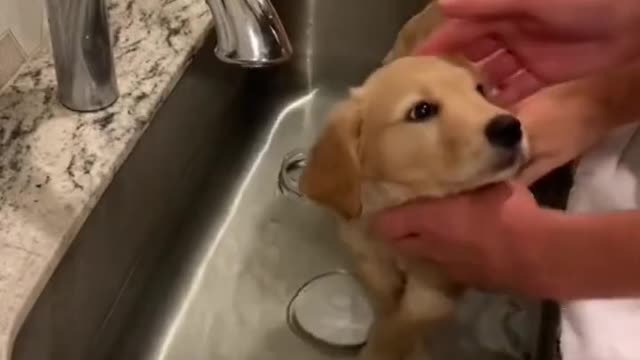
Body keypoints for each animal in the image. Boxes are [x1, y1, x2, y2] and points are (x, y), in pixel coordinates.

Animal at [300, 54, 528, 360]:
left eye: (479, 91)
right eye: (421, 111)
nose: (510, 128)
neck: (398, 199)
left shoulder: (437, 283)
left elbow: (402, 325)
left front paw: (392, 349)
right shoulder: (369, 258)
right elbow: (389, 306)